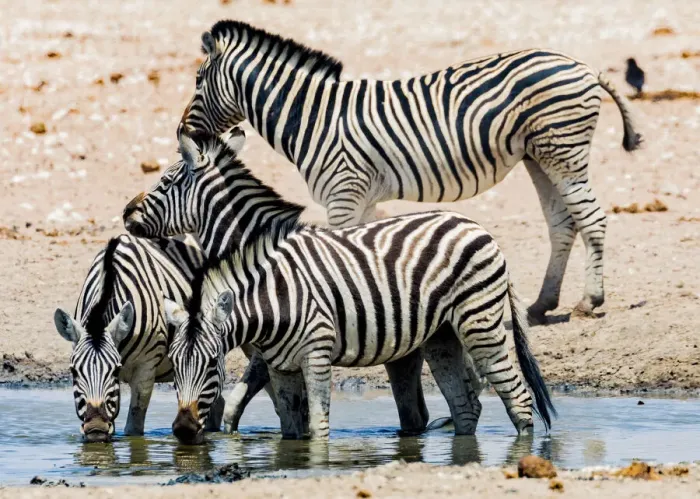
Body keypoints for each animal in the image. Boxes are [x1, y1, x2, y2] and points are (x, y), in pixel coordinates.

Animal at [161, 209, 555, 443]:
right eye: (174, 365)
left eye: (213, 365)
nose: (182, 430)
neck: (274, 299)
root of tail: (477, 226)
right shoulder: (279, 366)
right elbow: (290, 428)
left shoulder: (316, 355)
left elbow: (318, 425)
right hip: (442, 337)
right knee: (465, 406)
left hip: (480, 322)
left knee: (518, 397)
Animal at [178, 20, 642, 323]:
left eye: (198, 80)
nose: (183, 131)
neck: (313, 117)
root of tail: (582, 65)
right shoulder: (360, 200)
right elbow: (359, 255)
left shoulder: (343, 192)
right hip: (539, 156)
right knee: (563, 223)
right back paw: (542, 305)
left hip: (563, 151)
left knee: (592, 219)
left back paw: (590, 301)